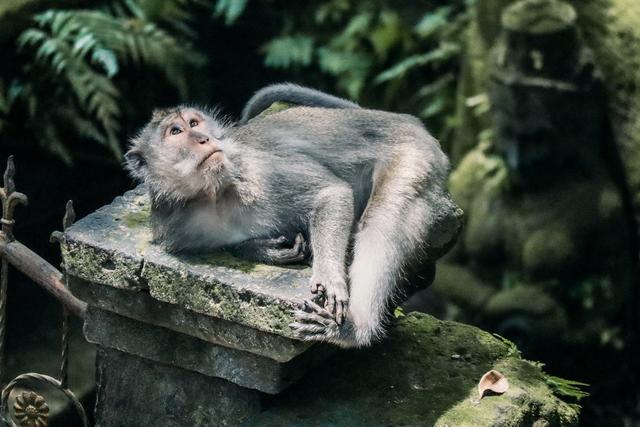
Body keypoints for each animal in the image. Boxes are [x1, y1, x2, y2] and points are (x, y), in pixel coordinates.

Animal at [125, 93, 462, 348]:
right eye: (176, 132)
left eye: (194, 123)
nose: (204, 138)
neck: (211, 194)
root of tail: (405, 120)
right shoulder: (175, 227)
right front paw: (268, 249)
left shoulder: (258, 172)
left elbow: (331, 194)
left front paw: (328, 277)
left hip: (413, 158)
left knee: (381, 225)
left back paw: (355, 330)